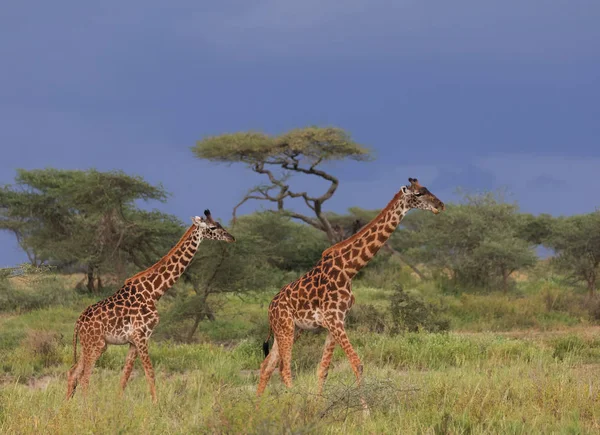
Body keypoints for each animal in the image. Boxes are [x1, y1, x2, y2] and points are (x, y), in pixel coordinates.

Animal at [65, 209, 234, 404]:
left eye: (220, 224)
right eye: (213, 227)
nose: (231, 237)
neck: (154, 292)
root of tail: (78, 322)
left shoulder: (133, 341)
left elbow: (125, 377)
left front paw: (119, 404)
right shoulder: (142, 336)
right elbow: (150, 373)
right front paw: (156, 404)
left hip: (90, 344)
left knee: (73, 372)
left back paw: (67, 406)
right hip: (96, 344)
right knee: (85, 376)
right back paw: (87, 407)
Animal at [255, 179, 442, 396]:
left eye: (427, 189)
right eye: (419, 194)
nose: (440, 205)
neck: (349, 270)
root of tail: (270, 308)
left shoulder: (336, 322)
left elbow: (323, 370)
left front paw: (319, 403)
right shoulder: (334, 320)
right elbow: (357, 363)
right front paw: (365, 407)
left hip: (290, 330)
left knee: (267, 365)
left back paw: (258, 405)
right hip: (285, 328)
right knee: (284, 368)